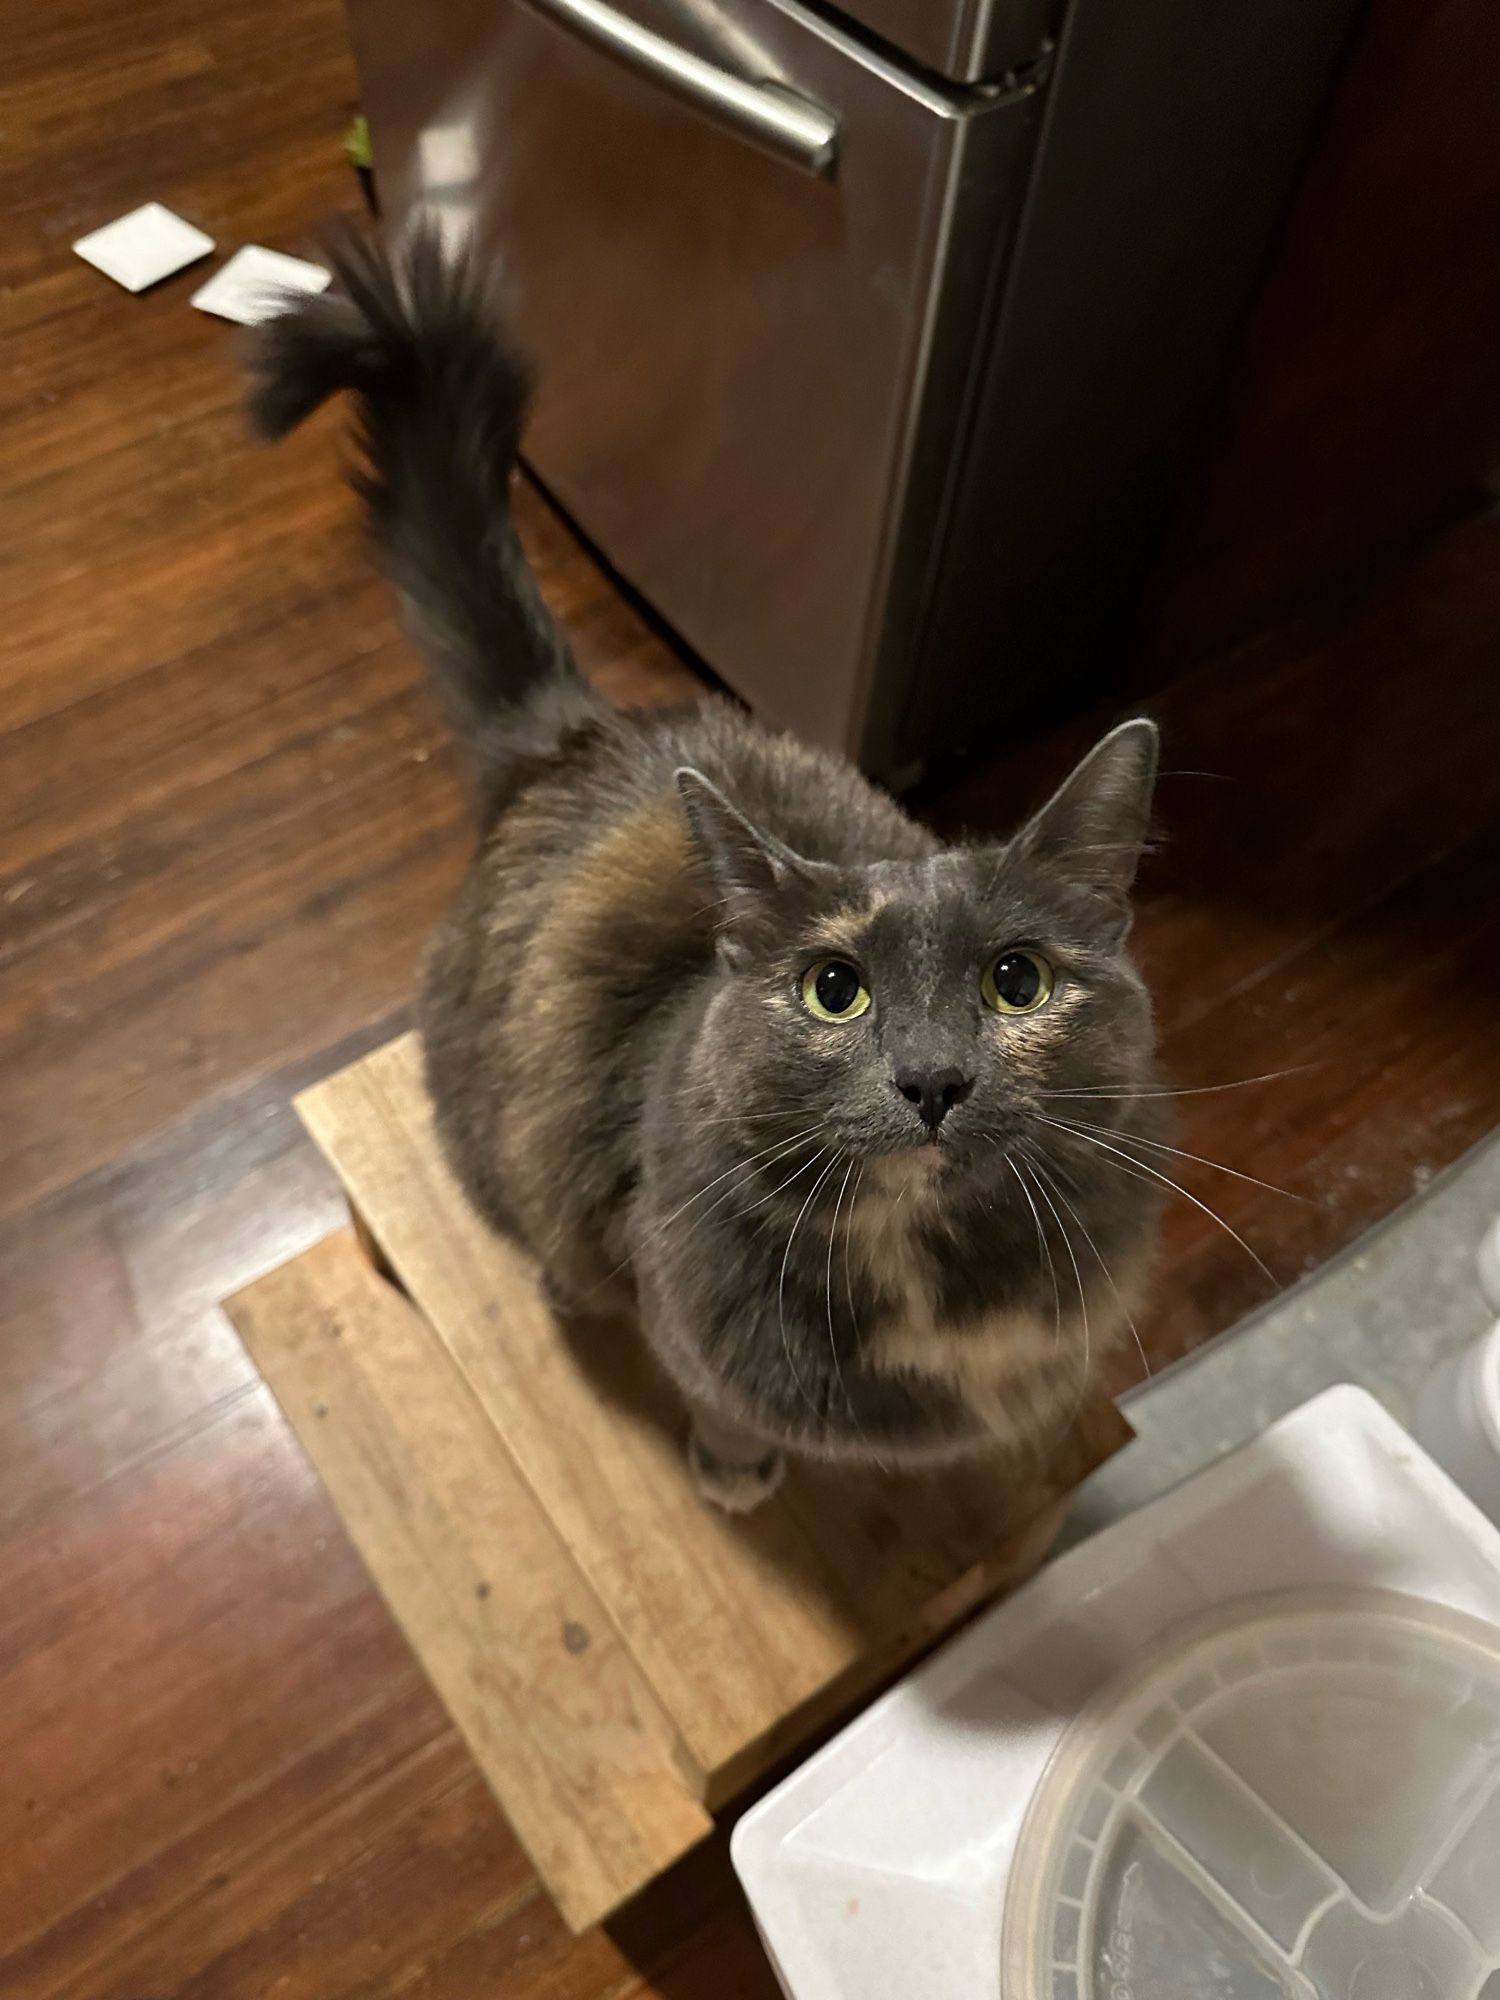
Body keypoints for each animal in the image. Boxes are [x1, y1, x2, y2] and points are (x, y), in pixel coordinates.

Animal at [247, 230, 1168, 1512]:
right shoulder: (685, 1301)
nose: (933, 1078)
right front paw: (736, 1472)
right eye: (834, 990)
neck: (929, 1264)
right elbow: (722, 1401)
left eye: (1016, 979)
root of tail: (572, 733)